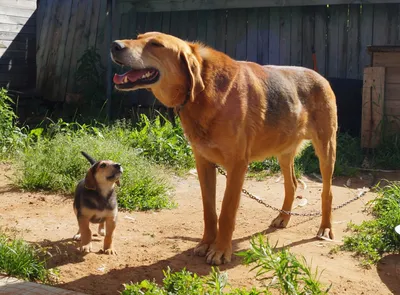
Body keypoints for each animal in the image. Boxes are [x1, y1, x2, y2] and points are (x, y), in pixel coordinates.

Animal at [110, 31, 338, 266]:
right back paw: (283, 217)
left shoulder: (237, 167)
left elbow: (227, 213)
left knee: (327, 192)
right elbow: (209, 212)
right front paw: (205, 243)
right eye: (138, 37)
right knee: (292, 184)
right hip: (284, 152)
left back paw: (325, 228)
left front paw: (220, 251)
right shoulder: (203, 164)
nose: (114, 45)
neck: (203, 92)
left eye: (156, 44)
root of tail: (319, 76)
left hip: (326, 149)